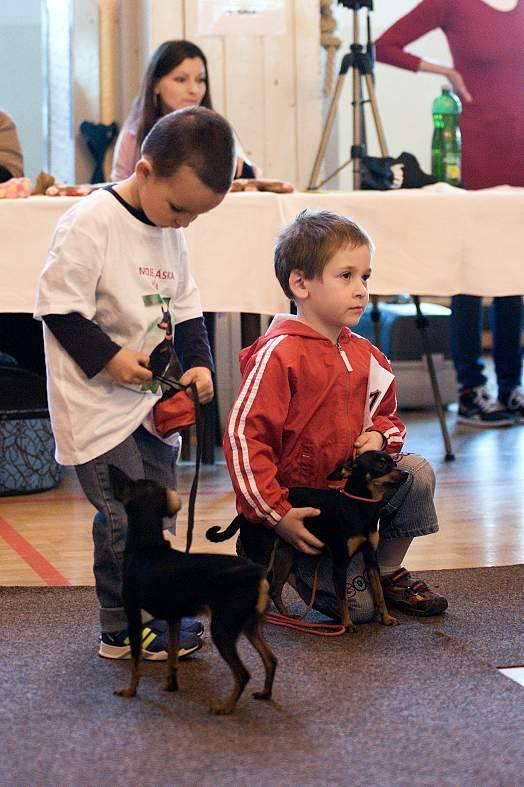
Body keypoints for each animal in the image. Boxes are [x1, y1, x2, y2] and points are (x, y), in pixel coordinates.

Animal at [108, 465, 277, 715]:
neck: (147, 547)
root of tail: (258, 572)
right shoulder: (174, 618)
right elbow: (172, 656)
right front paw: (171, 685)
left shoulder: (133, 614)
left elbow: (136, 660)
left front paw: (130, 691)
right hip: (249, 624)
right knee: (270, 659)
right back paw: (264, 694)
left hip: (223, 628)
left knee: (243, 674)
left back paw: (225, 707)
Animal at [206, 450, 408, 631]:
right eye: (380, 464)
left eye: (393, 462)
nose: (405, 473)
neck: (360, 506)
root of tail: (245, 514)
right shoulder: (340, 564)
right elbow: (342, 598)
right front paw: (347, 624)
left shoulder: (371, 560)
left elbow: (379, 593)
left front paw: (386, 618)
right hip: (263, 557)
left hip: (285, 557)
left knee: (275, 589)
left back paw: (287, 617)